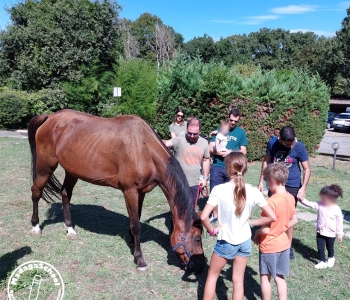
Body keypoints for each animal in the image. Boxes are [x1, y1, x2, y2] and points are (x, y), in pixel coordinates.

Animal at [28, 109, 205, 274]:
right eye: (197, 239)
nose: (199, 266)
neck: (144, 148)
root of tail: (51, 117)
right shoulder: (130, 191)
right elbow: (136, 225)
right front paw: (140, 260)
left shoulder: (141, 192)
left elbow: (137, 218)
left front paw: (132, 242)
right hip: (45, 167)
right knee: (36, 191)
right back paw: (35, 227)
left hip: (71, 171)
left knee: (65, 193)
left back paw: (70, 229)